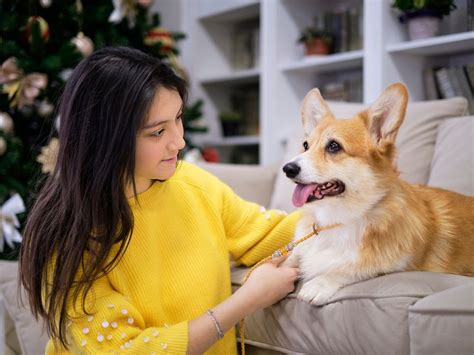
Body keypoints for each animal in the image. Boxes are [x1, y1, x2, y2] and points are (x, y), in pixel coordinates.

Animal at [284, 82, 472, 306]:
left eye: (334, 146)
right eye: (305, 146)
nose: (287, 168)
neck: (339, 219)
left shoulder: (397, 264)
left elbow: (354, 268)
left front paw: (319, 283)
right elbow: (289, 258)